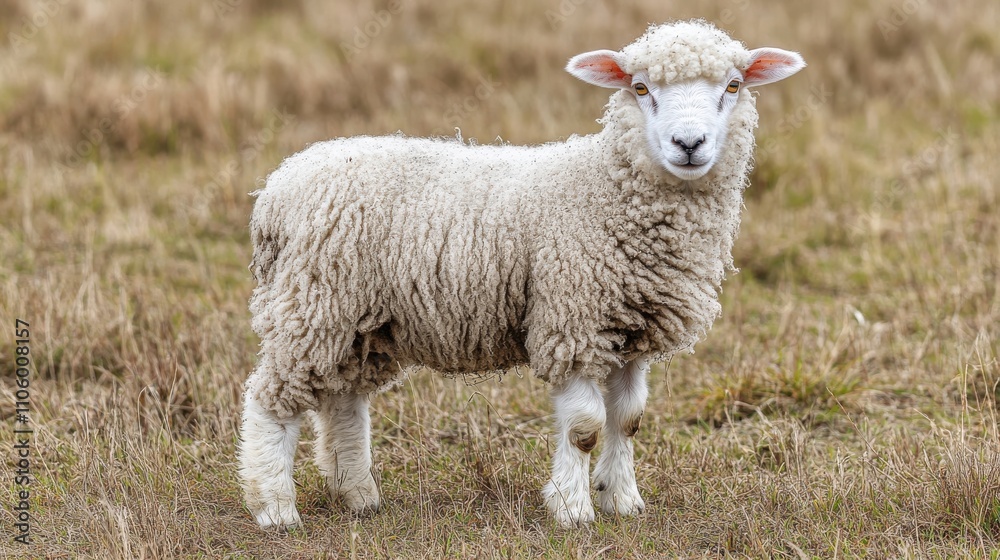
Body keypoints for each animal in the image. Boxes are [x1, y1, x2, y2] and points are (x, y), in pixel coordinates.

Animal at [238, 19, 805, 529]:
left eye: (734, 86)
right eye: (640, 88)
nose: (689, 143)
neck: (605, 190)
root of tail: (276, 191)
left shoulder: (630, 330)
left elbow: (628, 419)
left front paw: (622, 500)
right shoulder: (573, 320)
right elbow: (584, 427)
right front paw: (573, 510)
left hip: (360, 320)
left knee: (343, 402)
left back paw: (358, 495)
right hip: (313, 305)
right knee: (271, 400)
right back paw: (276, 508)